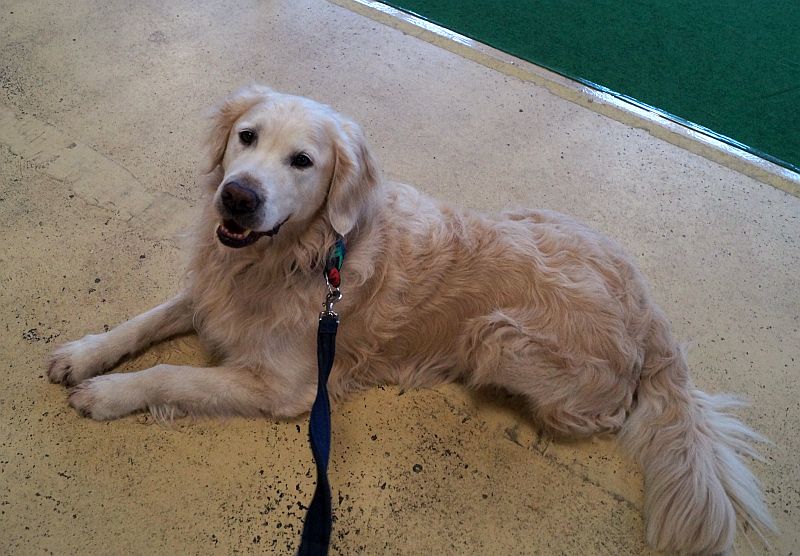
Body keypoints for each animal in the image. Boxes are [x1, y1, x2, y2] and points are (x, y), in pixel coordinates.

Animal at [48, 85, 774, 554]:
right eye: (245, 137)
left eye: (303, 161)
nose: (238, 196)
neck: (294, 257)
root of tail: (651, 311)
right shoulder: (210, 292)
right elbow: (145, 322)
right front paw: (85, 354)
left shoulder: (289, 388)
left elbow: (170, 373)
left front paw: (108, 394)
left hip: (500, 341)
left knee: (605, 413)